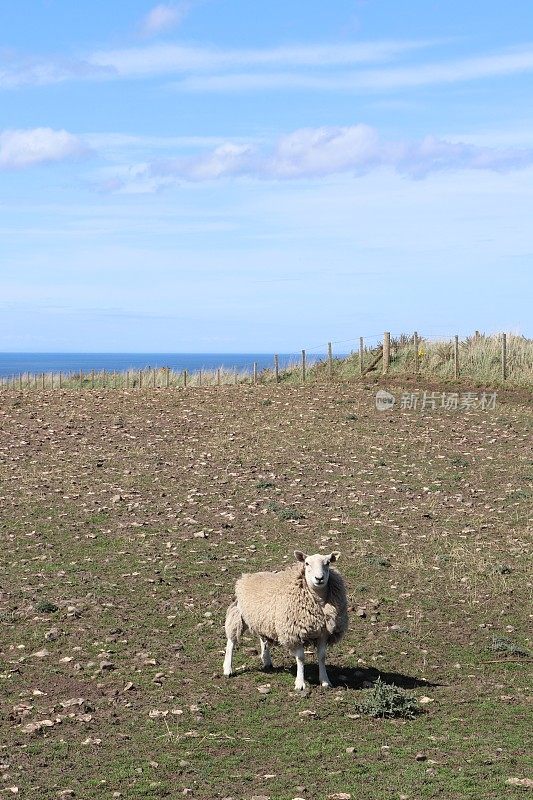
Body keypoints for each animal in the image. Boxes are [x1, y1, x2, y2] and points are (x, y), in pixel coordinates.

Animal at [222, 552, 348, 688]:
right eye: (307, 563)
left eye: (328, 563)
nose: (319, 578)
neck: (317, 600)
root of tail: (246, 576)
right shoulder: (294, 633)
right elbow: (301, 658)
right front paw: (300, 683)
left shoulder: (324, 633)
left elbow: (322, 656)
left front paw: (325, 681)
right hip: (240, 614)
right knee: (231, 640)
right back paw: (227, 669)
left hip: (262, 619)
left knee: (263, 638)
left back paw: (266, 661)